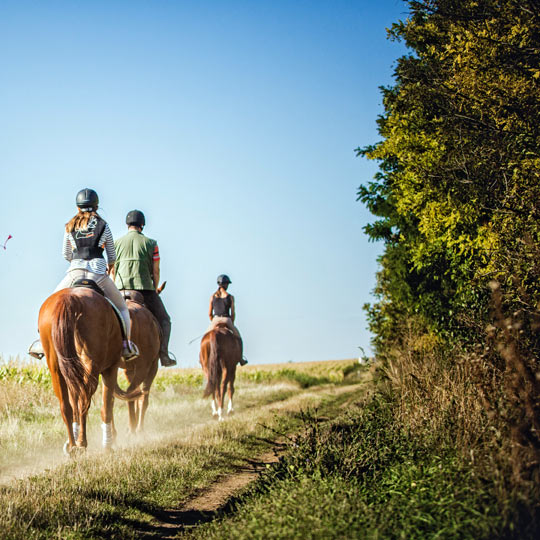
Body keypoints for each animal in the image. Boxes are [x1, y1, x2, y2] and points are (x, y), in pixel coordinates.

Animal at [38, 284, 143, 454]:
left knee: (67, 407)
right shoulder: (110, 368)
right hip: (92, 367)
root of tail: (70, 298)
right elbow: (107, 406)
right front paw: (108, 444)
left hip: (56, 369)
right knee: (84, 401)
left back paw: (73, 445)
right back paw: (82, 443)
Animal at [122, 296, 162, 434]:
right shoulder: (152, 366)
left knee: (130, 394)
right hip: (145, 367)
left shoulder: (128, 370)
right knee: (139, 395)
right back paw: (137, 428)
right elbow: (142, 397)